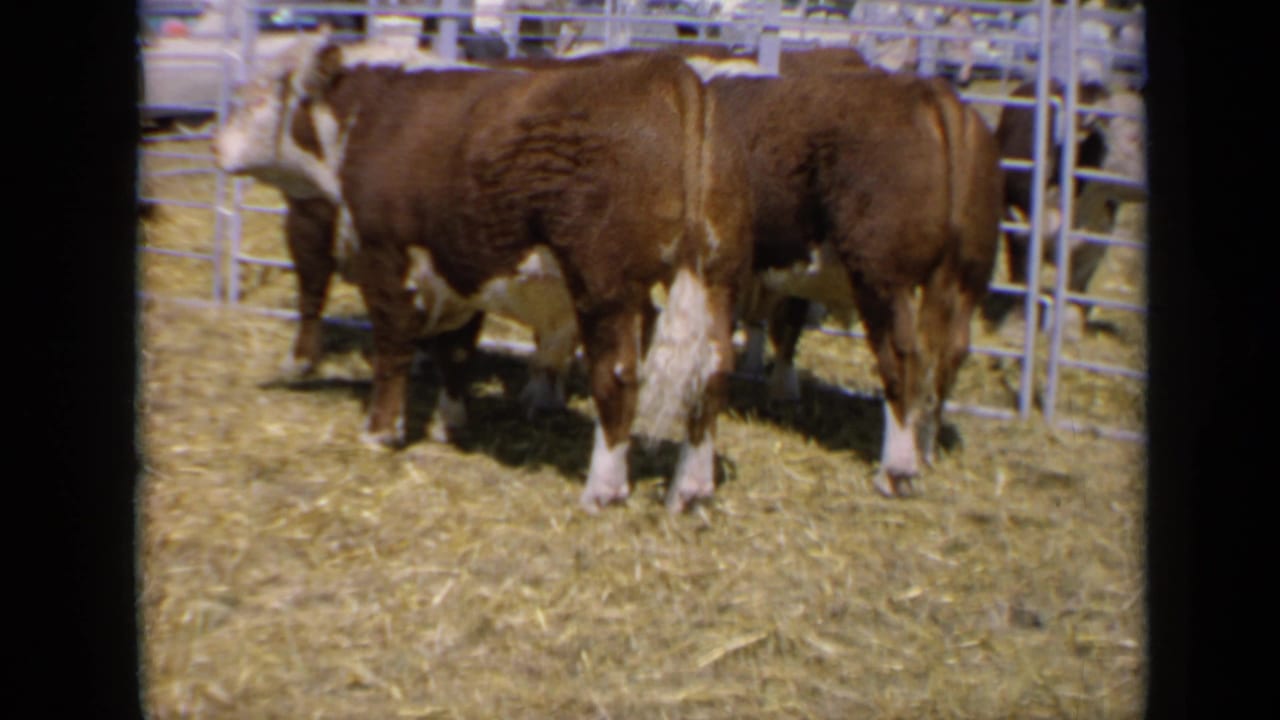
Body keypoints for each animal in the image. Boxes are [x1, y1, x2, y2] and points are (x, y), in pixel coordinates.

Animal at [212, 35, 753, 514]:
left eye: (257, 97)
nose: (215, 147)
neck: (370, 117)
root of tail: (668, 71)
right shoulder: (462, 267)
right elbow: (455, 352)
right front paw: (449, 425)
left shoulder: (386, 259)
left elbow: (392, 350)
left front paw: (380, 430)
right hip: (716, 277)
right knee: (712, 370)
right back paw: (692, 489)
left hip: (606, 285)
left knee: (618, 376)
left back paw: (603, 490)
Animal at [981, 79, 1147, 341]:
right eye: (1134, 138)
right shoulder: (1020, 223)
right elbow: (1023, 276)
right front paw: (1017, 329)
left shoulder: (1097, 236)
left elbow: (1076, 282)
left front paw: (1070, 328)